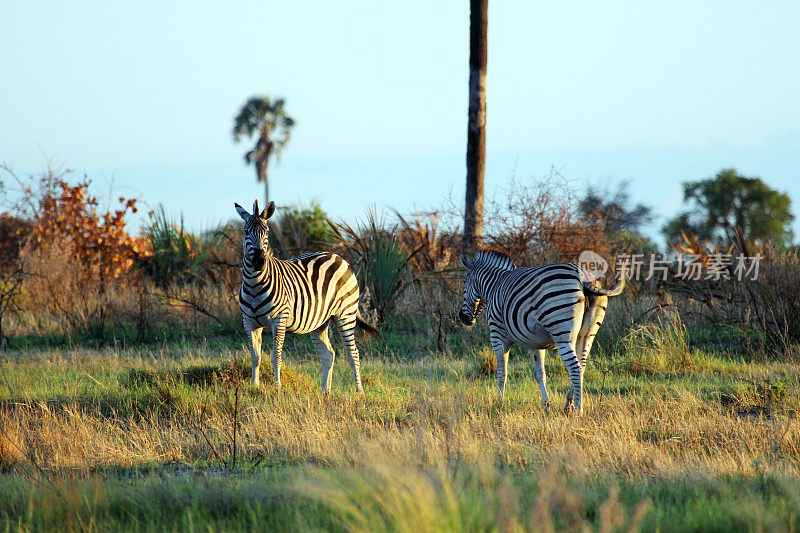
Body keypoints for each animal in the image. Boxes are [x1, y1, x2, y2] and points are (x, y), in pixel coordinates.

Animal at [234, 200, 378, 390]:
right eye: (246, 232)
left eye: (266, 232)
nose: (259, 261)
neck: (254, 285)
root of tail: (340, 258)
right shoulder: (249, 322)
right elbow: (256, 357)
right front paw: (254, 387)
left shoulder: (279, 319)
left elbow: (275, 356)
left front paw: (277, 387)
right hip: (321, 321)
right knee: (328, 354)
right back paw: (325, 391)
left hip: (345, 313)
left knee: (353, 353)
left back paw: (358, 391)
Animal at [456, 249, 624, 416]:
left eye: (464, 283)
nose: (462, 318)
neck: (494, 285)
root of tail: (584, 277)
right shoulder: (535, 343)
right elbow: (540, 374)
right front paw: (547, 405)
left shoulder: (497, 336)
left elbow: (501, 373)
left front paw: (500, 404)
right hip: (588, 331)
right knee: (582, 364)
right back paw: (568, 403)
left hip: (561, 331)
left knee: (575, 368)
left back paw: (578, 410)